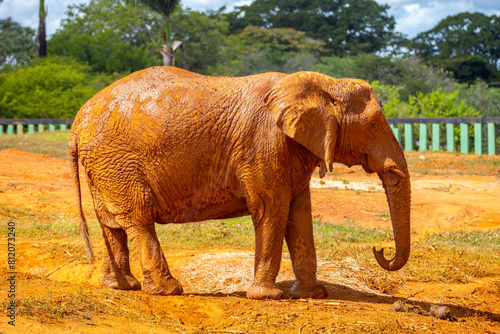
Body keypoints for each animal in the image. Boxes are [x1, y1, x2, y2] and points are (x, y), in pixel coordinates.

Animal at [69, 67, 410, 300]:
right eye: (374, 124)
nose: (379, 250)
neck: (322, 83)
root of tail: (77, 122)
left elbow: (299, 215)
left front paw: (312, 295)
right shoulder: (264, 145)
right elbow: (273, 210)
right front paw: (268, 297)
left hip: (104, 166)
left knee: (111, 224)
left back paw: (121, 286)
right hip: (117, 162)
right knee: (138, 219)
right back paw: (168, 290)